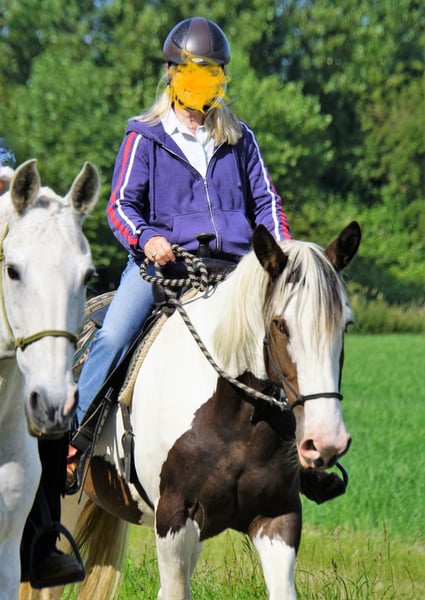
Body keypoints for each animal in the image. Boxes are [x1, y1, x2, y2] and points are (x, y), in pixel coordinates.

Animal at [53, 220, 361, 600]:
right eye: (279, 324)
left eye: (345, 325)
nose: (326, 441)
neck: (235, 418)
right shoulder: (173, 519)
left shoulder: (278, 517)